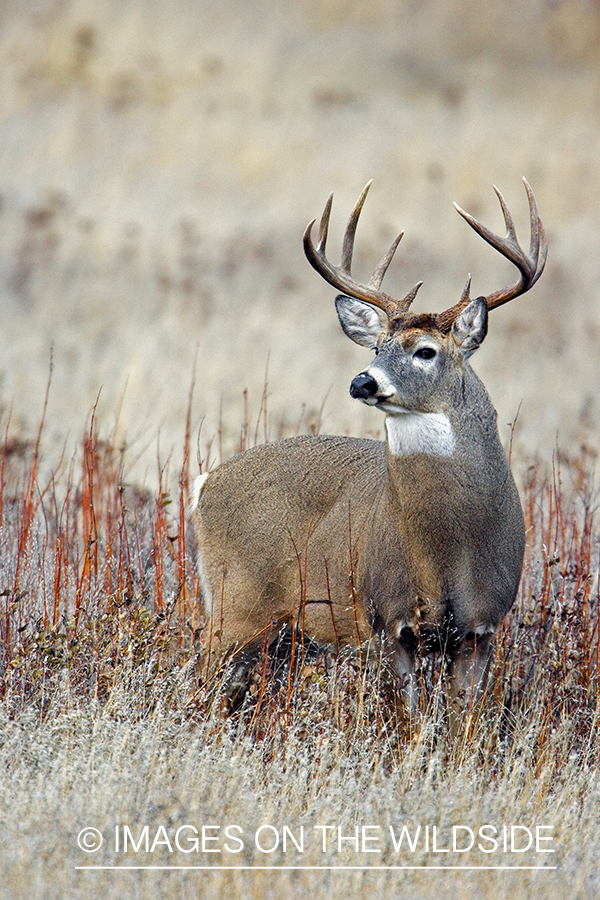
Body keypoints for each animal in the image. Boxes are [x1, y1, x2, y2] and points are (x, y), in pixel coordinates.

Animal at [190, 178, 547, 723]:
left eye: (425, 351)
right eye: (376, 348)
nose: (363, 381)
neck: (448, 553)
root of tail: (205, 482)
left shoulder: (482, 625)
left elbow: (463, 722)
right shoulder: (387, 618)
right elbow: (407, 720)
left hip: (279, 631)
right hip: (236, 605)